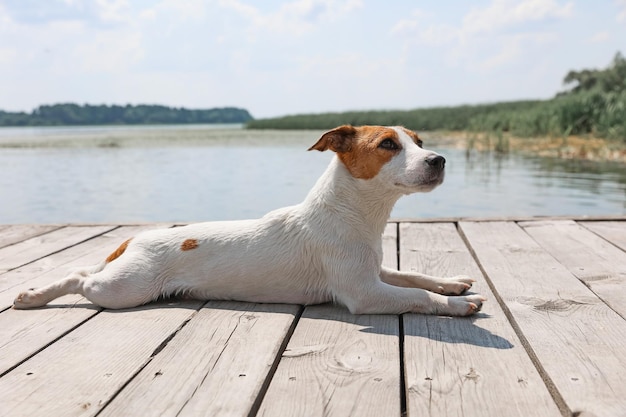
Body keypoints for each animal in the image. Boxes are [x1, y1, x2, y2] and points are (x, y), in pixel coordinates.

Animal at [12, 125, 486, 314]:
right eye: (388, 144)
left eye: (419, 141)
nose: (439, 159)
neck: (355, 215)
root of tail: (133, 240)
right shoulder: (364, 293)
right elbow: (416, 295)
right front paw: (456, 305)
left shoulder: (375, 271)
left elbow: (413, 276)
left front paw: (451, 284)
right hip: (124, 289)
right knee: (79, 277)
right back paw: (33, 296)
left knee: (83, 270)